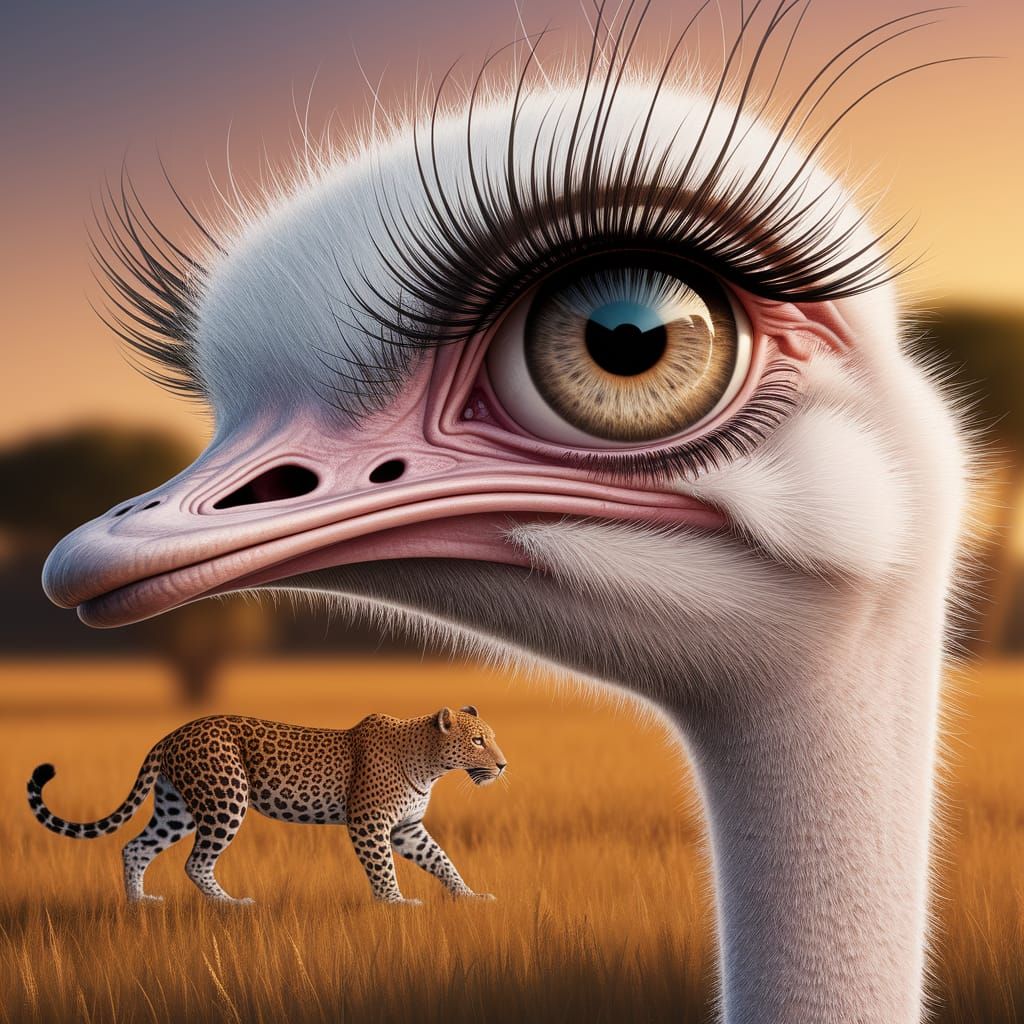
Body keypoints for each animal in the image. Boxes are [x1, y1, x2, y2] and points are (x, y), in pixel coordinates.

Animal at [27, 705, 506, 905]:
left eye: (490, 738)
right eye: (478, 741)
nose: (503, 765)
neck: (429, 765)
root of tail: (171, 734)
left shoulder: (407, 828)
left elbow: (441, 859)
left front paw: (469, 895)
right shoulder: (369, 823)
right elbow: (382, 866)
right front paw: (396, 903)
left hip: (175, 809)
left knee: (135, 847)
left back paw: (138, 903)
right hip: (225, 798)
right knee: (195, 862)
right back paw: (232, 905)